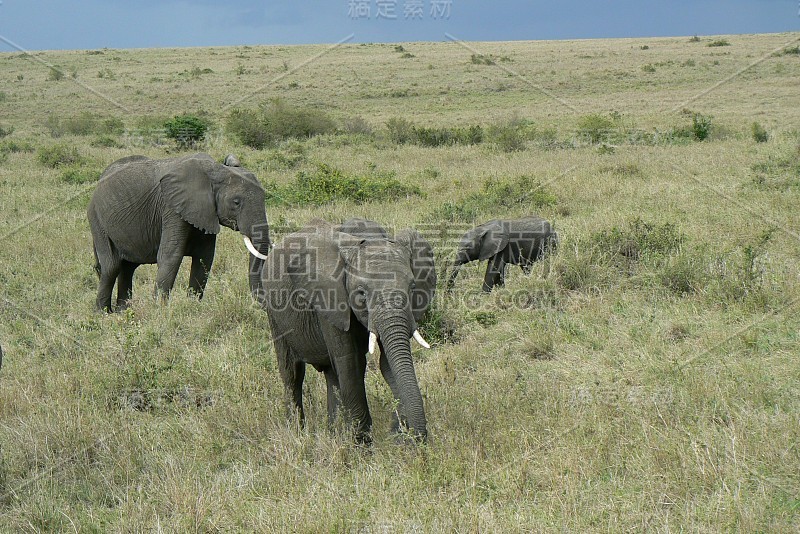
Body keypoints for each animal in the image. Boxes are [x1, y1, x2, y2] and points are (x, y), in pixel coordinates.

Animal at [86, 154, 270, 314]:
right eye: (236, 202)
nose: (260, 306)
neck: (214, 171)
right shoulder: (172, 208)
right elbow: (171, 256)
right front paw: (160, 312)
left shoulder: (205, 212)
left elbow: (204, 258)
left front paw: (193, 308)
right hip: (96, 219)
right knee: (111, 266)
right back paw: (103, 314)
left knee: (127, 267)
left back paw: (122, 312)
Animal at [260, 220, 438, 446]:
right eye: (361, 294)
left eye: (413, 287)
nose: (414, 440)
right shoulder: (329, 298)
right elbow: (349, 362)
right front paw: (362, 445)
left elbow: (387, 363)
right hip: (274, 314)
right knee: (292, 374)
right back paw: (297, 434)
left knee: (331, 375)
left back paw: (334, 434)